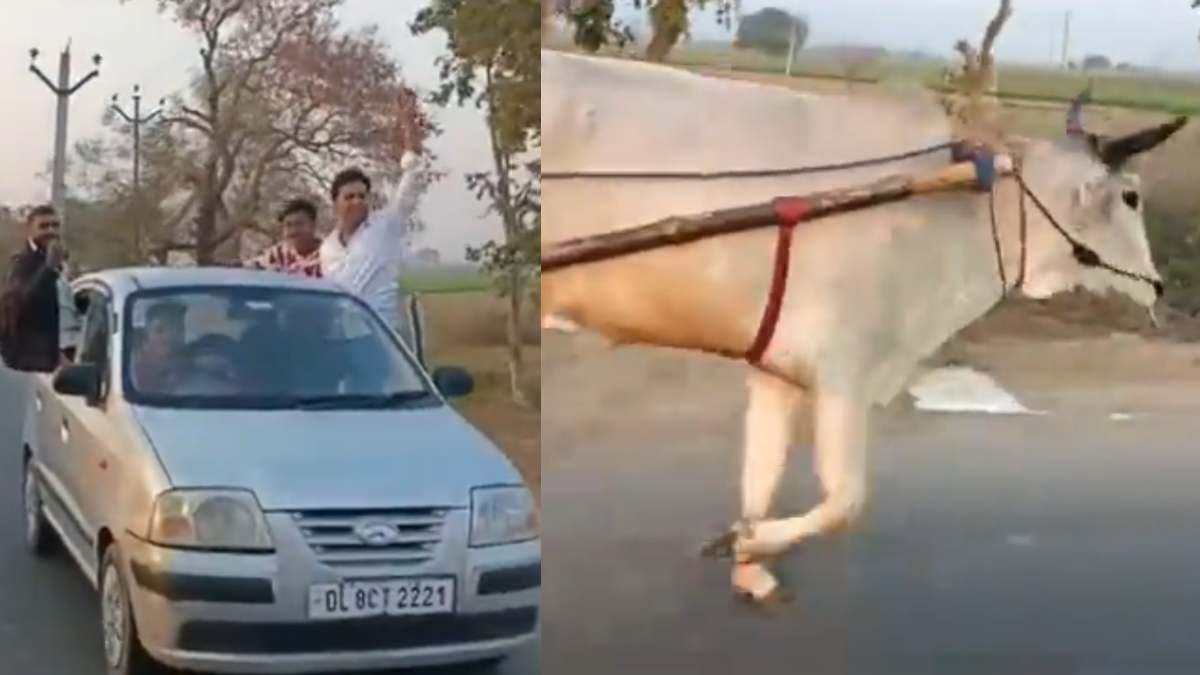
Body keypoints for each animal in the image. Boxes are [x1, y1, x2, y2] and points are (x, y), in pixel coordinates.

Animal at [547, 49, 1190, 600]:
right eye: (1131, 197)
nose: (1159, 285)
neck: (968, 208)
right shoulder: (844, 372)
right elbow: (846, 502)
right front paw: (744, 543)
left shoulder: (777, 368)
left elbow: (761, 477)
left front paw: (749, 558)